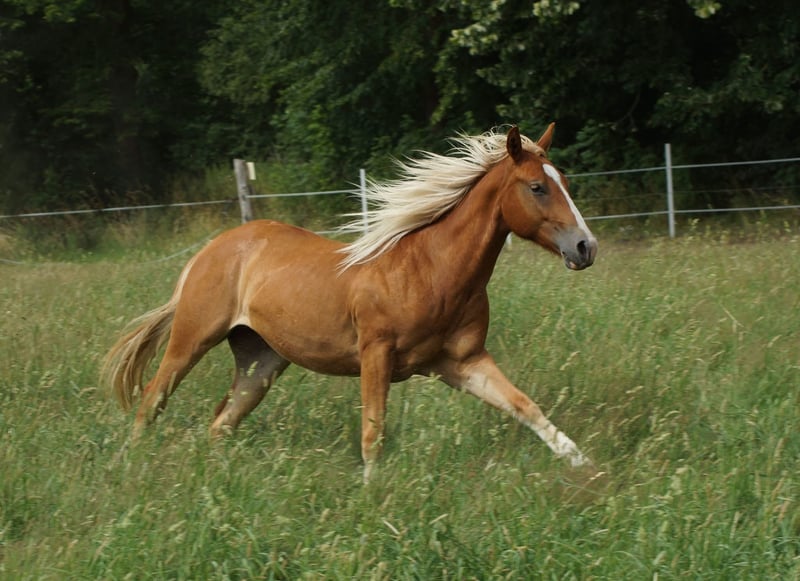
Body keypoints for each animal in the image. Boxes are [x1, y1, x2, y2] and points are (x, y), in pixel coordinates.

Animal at [102, 124, 598, 482]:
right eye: (536, 187)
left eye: (564, 181)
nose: (585, 247)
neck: (430, 271)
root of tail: (212, 249)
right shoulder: (375, 354)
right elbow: (373, 432)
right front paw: (372, 495)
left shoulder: (463, 363)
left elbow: (526, 406)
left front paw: (587, 467)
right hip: (193, 339)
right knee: (152, 399)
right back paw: (130, 467)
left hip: (261, 361)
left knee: (222, 422)